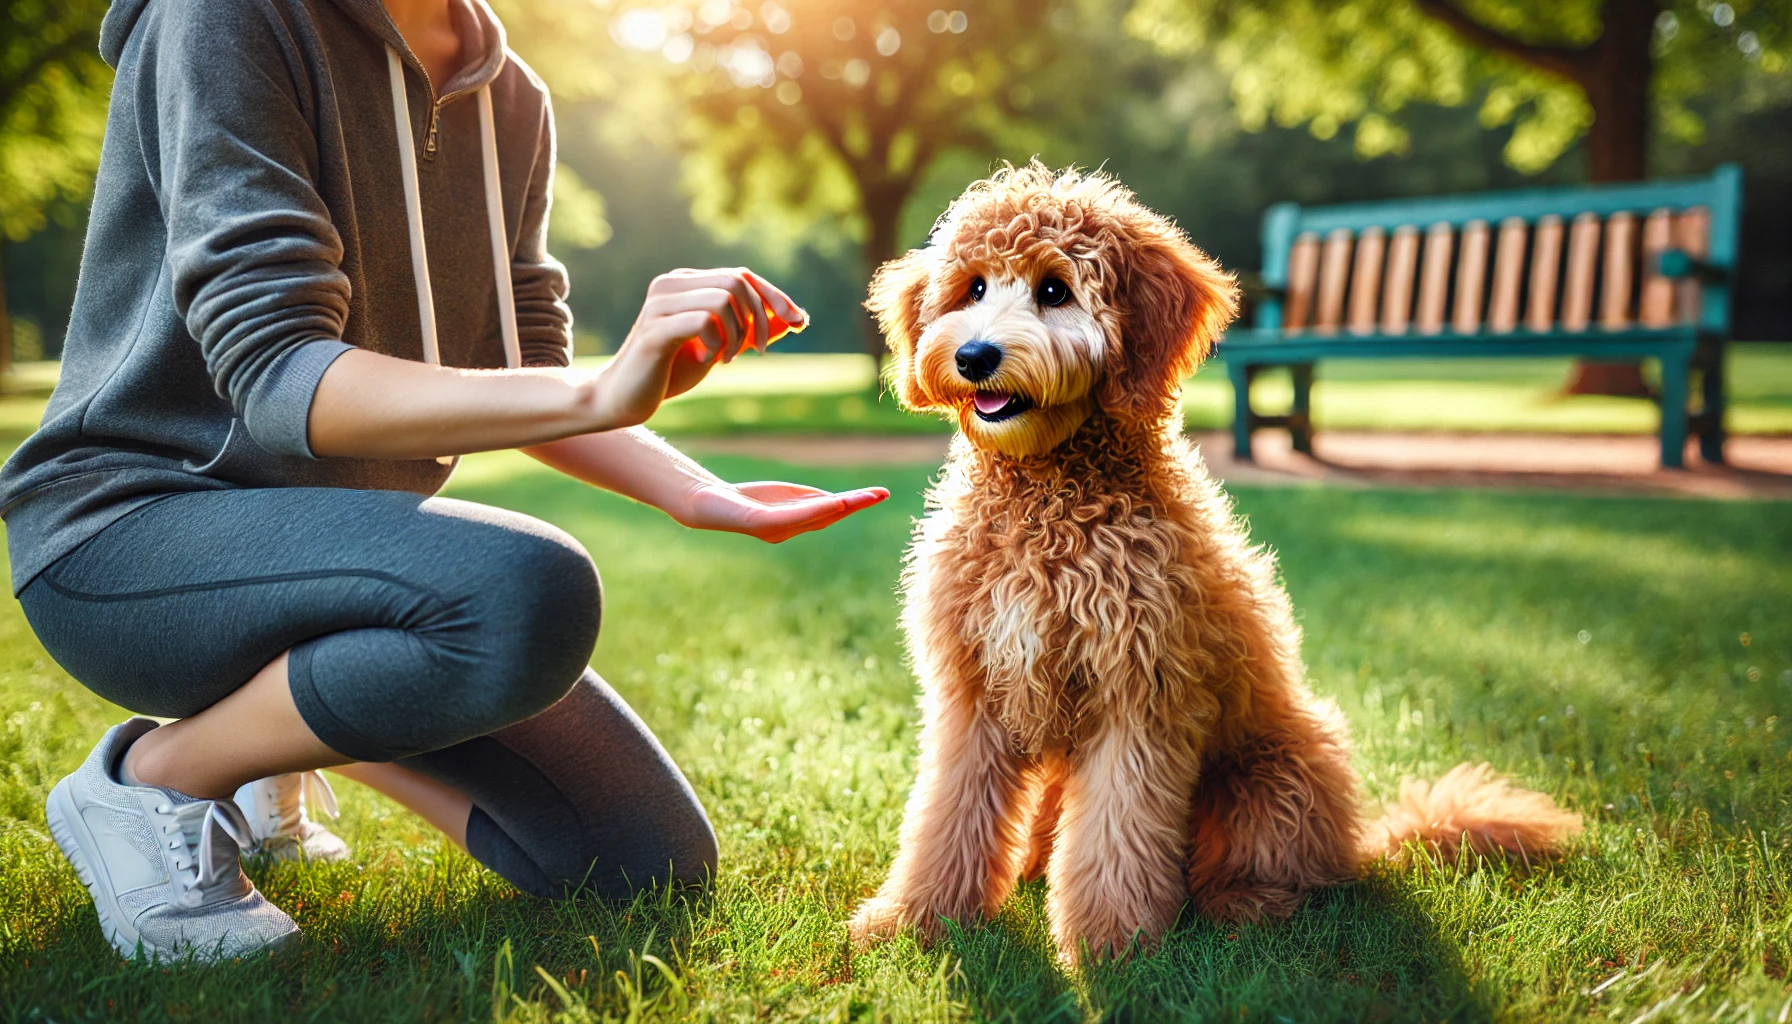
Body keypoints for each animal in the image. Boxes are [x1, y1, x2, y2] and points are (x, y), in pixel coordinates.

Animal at [845, 164, 1576, 968]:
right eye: (972, 287)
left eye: (1055, 289)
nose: (975, 356)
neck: (1045, 507)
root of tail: (1358, 844)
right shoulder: (972, 690)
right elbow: (947, 816)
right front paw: (916, 918)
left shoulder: (1142, 694)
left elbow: (1118, 835)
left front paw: (1111, 947)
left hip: (1273, 772)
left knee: (1276, 872)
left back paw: (1239, 908)